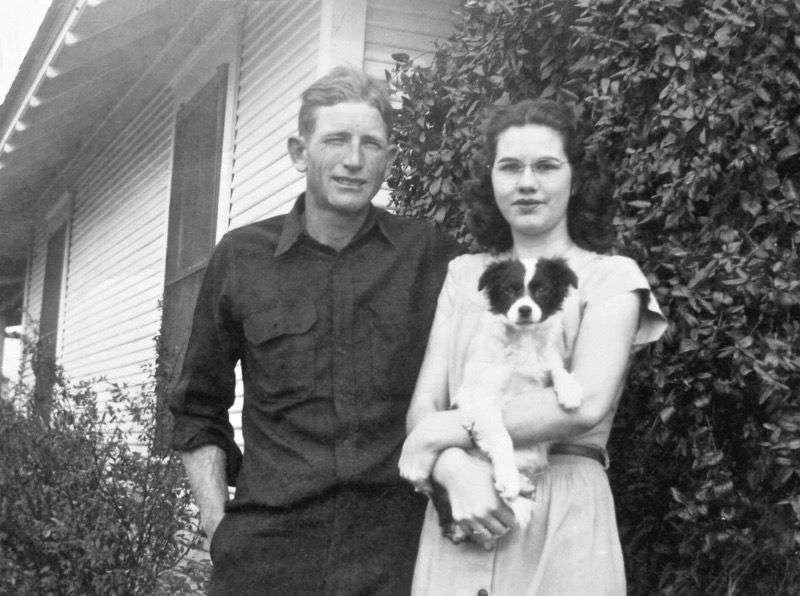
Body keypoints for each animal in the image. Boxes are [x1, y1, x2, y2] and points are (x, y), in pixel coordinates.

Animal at [433, 257, 582, 544]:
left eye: (542, 290)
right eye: (509, 291)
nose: (524, 310)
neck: (523, 340)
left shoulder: (543, 369)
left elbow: (556, 367)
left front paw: (570, 389)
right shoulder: (484, 399)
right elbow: (501, 437)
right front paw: (508, 478)